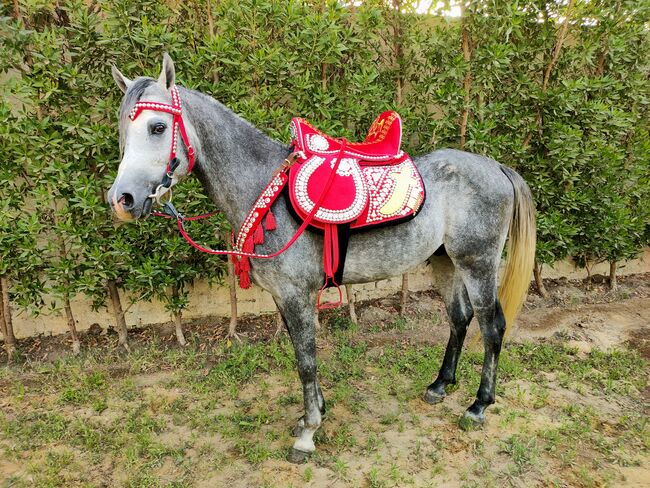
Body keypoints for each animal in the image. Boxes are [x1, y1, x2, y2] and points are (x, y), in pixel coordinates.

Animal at [107, 55, 532, 464]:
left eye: (158, 127)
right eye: (123, 131)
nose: (122, 199)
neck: (266, 190)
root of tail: (495, 166)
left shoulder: (297, 295)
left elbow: (306, 360)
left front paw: (308, 433)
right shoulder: (283, 297)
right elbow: (301, 353)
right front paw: (314, 413)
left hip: (478, 263)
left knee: (492, 326)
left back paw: (478, 405)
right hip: (445, 261)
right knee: (459, 319)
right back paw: (440, 385)